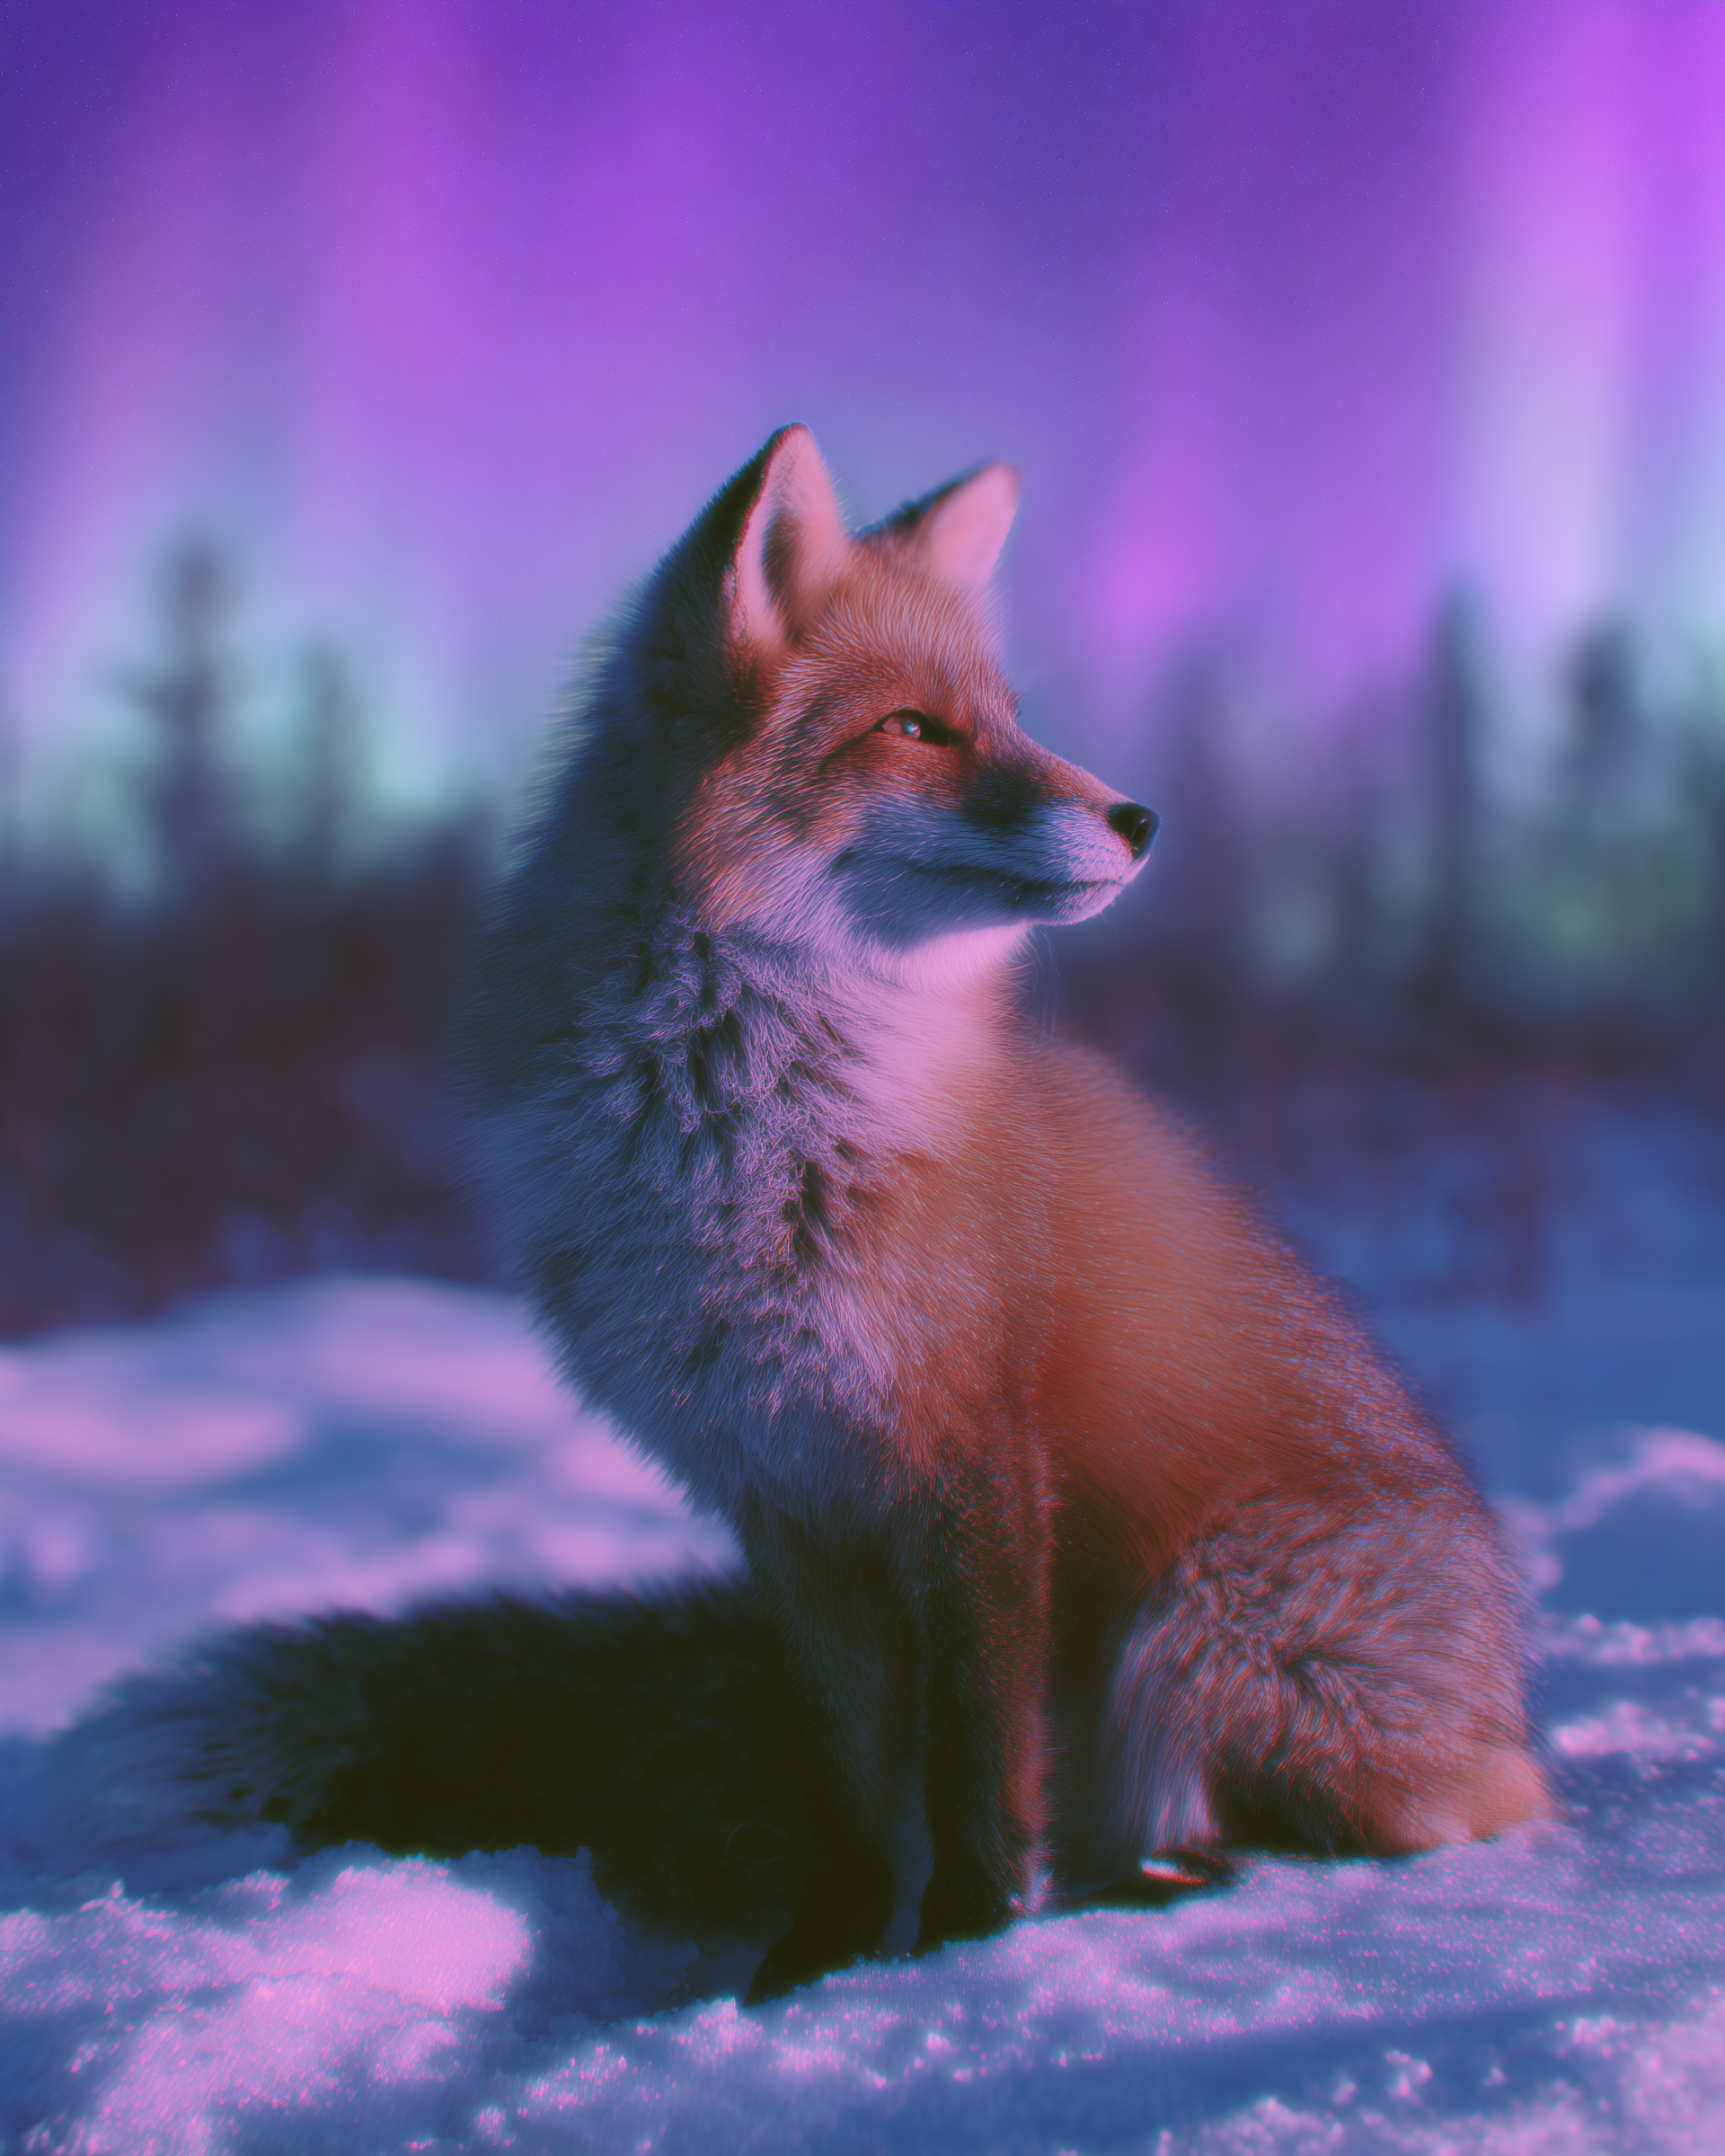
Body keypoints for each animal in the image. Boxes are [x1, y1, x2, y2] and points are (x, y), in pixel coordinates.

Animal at [70, 426, 1551, 2000]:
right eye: (918, 729)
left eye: (1011, 719)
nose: (1143, 819)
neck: (749, 1140)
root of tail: (1511, 1684)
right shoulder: (785, 1498)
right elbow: (855, 1779)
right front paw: (817, 1964)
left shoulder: (972, 1462)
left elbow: (979, 1755)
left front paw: (966, 1942)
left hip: (1206, 1617)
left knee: (1413, 1810)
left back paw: (1180, 1877)